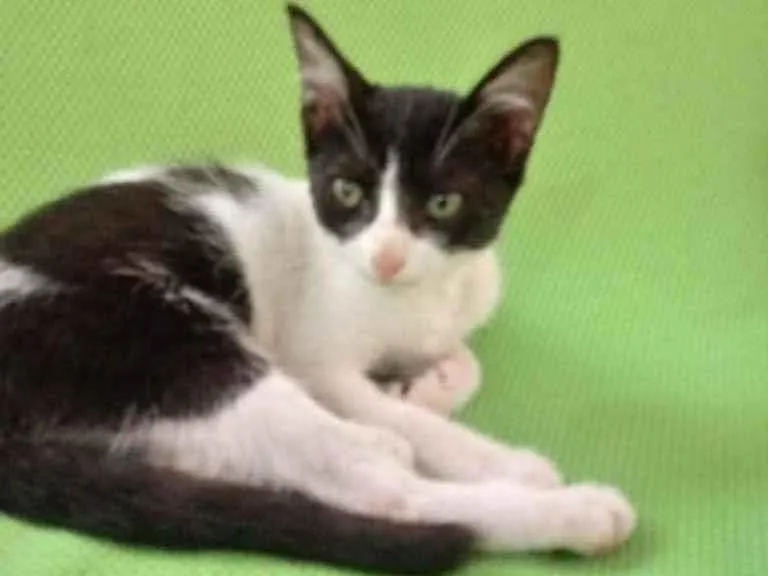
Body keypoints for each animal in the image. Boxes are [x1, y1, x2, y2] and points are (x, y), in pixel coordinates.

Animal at [0, 5, 636, 575]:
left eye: (443, 203)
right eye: (348, 192)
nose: (386, 257)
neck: (416, 298)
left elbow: (465, 362)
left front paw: (422, 387)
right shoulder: (311, 359)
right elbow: (386, 409)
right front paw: (487, 455)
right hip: (162, 340)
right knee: (380, 488)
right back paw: (574, 512)